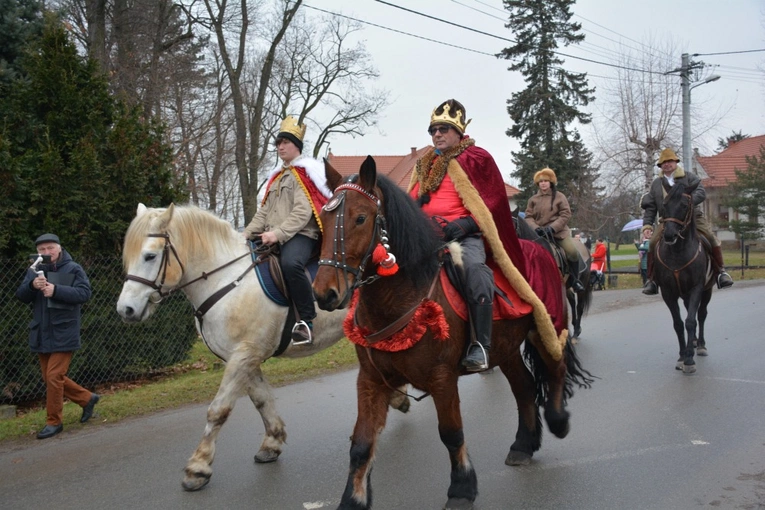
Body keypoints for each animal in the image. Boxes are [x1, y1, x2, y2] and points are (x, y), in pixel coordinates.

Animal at [114, 202, 408, 490]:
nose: (125, 310)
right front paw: (272, 442)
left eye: (150, 256)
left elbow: (218, 410)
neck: (227, 281)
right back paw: (399, 397)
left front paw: (198, 467)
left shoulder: (244, 355)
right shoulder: (243, 357)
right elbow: (261, 400)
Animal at [310, 156, 592, 510]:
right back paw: (522, 445)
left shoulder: (442, 379)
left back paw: (558, 420)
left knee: (556, 367)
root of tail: (539, 246)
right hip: (506, 347)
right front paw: (353, 499)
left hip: (546, 327)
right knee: (525, 387)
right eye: (323, 219)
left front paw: (462, 488)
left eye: (361, 218)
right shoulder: (371, 380)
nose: (325, 293)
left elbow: (451, 433)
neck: (401, 295)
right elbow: (361, 444)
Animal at [652, 181, 712, 372]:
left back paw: (700, 345)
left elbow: (691, 321)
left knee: (701, 314)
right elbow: (678, 323)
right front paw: (681, 356)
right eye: (665, 205)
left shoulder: (696, 288)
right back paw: (691, 343)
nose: (669, 235)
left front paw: (689, 360)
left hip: (706, 291)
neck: (678, 252)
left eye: (685, 205)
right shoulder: (668, 292)